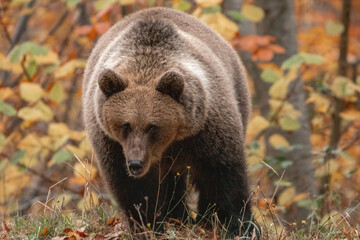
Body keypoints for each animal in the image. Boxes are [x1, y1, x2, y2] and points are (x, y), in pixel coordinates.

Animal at [82, 7, 256, 236]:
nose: (136, 163)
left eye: (152, 126)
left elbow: (222, 172)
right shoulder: (111, 142)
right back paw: (178, 217)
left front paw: (239, 226)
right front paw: (149, 225)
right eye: (125, 125)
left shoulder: (208, 127)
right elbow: (133, 188)